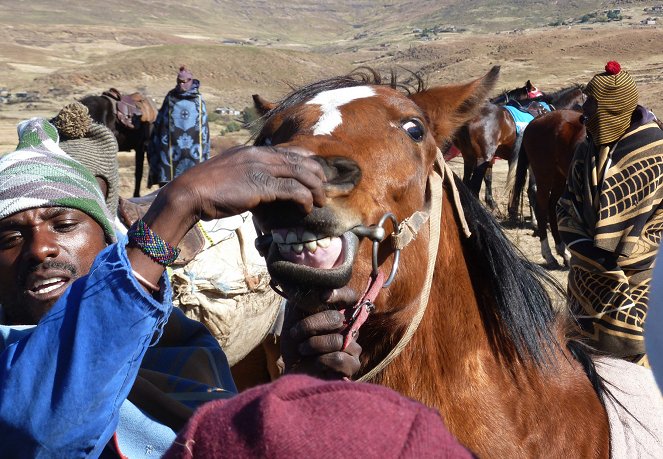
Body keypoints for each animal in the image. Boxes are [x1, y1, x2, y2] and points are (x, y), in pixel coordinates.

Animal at [508, 109, 588, 266]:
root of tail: (535, 121)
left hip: (560, 178)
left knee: (552, 207)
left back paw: (563, 251)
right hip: (544, 176)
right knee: (542, 208)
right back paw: (549, 254)